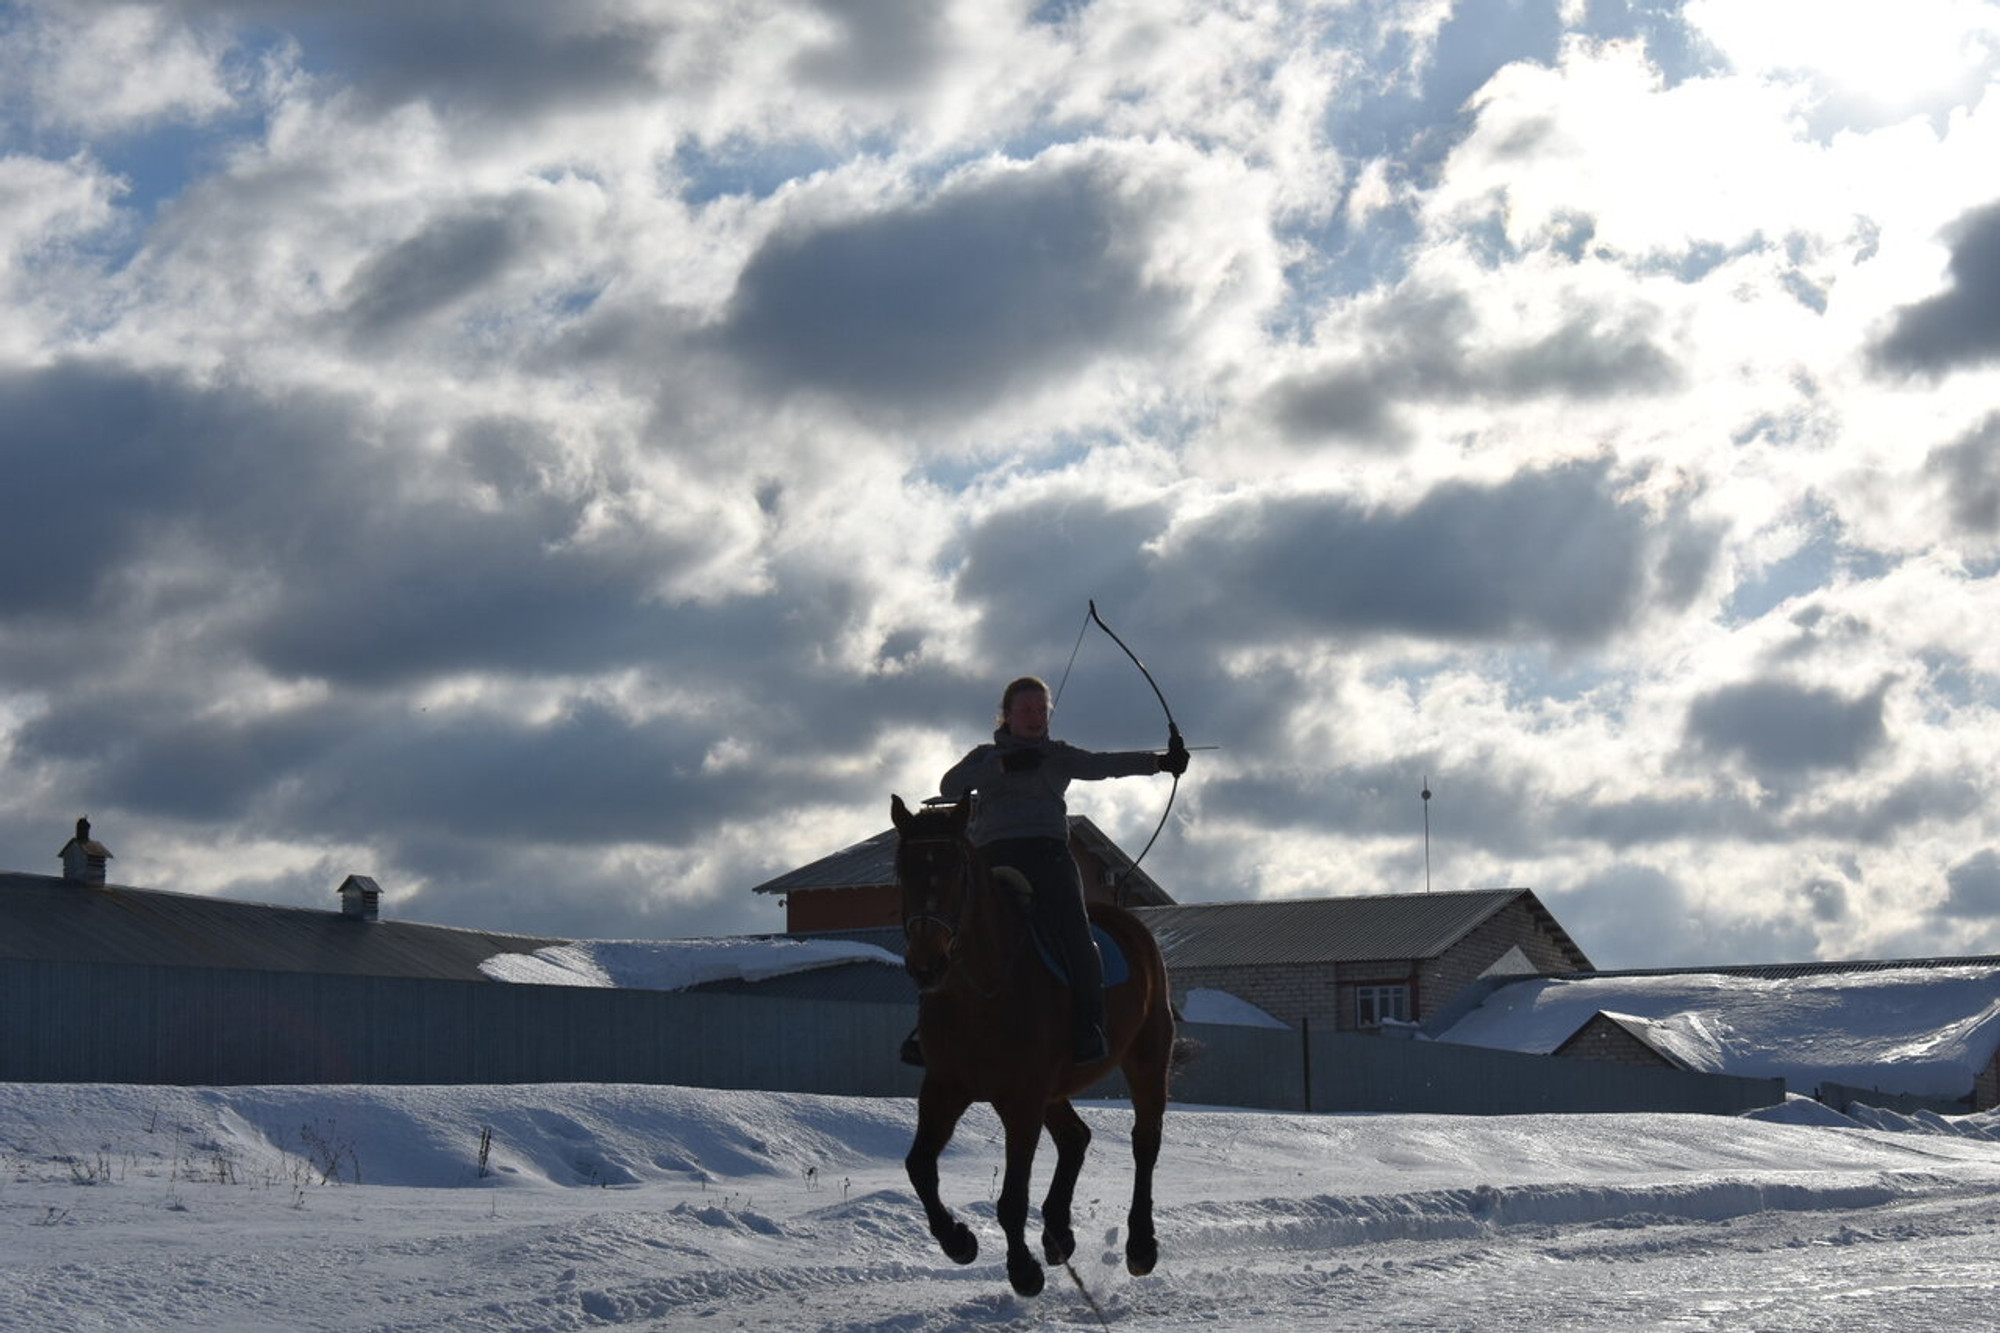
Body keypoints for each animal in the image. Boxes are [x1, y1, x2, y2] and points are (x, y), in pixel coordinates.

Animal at [892, 792, 1168, 1288]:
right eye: (902, 870)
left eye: (959, 871)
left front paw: (1022, 1270)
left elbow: (1012, 1197)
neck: (981, 993)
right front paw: (958, 1241)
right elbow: (919, 1165)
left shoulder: (1021, 1100)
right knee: (1076, 1137)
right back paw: (1059, 1233)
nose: (926, 964)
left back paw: (1140, 1245)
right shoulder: (945, 1087)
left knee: (1145, 1142)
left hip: (1147, 1058)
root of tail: (1132, 924)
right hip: (1053, 1088)